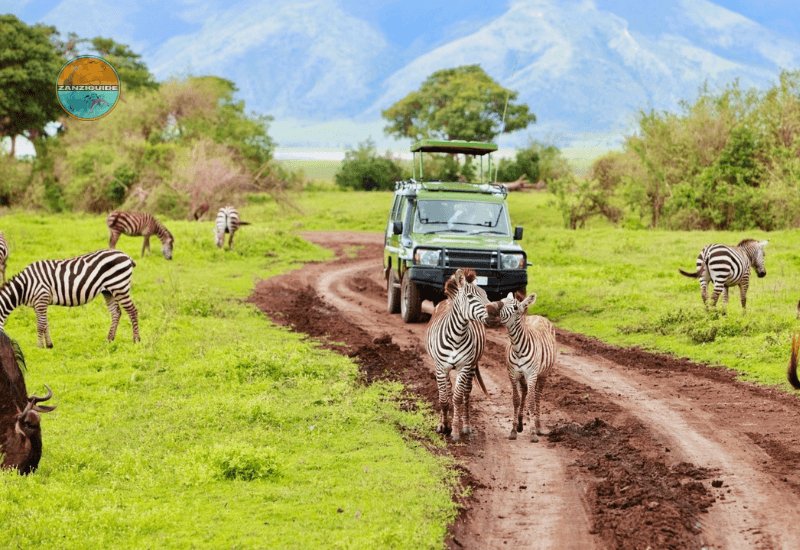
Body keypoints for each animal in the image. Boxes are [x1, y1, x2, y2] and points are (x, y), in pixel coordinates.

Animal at [0, 250, 141, 350]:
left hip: (119, 286)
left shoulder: (41, 298)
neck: (25, 286)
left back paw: (136, 340)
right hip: (108, 291)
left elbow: (40, 325)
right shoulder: (38, 303)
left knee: (132, 310)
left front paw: (39, 347)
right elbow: (45, 324)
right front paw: (49, 345)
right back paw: (109, 339)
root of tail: (126, 256)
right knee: (116, 313)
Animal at [428, 270, 490, 442]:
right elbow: (443, 399)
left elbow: (457, 399)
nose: (494, 312)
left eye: (486, 294)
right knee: (447, 392)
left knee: (466, 394)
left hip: (472, 365)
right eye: (470, 297)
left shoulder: (464, 367)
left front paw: (455, 431)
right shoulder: (440, 368)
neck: (456, 336)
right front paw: (444, 426)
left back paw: (466, 425)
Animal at [488, 294, 556, 444]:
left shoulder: (531, 374)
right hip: (524, 377)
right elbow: (516, 400)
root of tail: (539, 316)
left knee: (537, 397)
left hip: (543, 374)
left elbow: (531, 402)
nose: (490, 307)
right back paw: (520, 424)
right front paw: (513, 430)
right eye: (501, 300)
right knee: (524, 392)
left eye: (515, 307)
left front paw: (533, 433)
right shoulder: (513, 374)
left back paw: (538, 426)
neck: (517, 347)